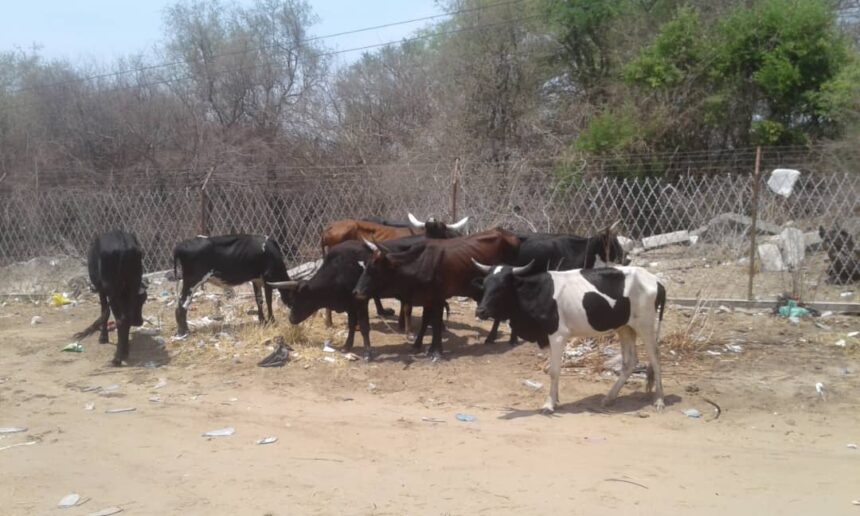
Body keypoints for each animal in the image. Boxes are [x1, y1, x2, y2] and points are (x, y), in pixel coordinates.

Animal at [73, 230, 148, 366]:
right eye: (142, 301)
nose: (139, 322)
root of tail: (124, 246)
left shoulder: (102, 290)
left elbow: (104, 311)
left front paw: (103, 337)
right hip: (133, 282)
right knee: (126, 318)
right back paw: (125, 351)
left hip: (111, 289)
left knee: (121, 320)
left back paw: (117, 358)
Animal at [353, 228, 521, 359]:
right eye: (365, 267)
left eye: (375, 270)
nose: (357, 292)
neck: (420, 263)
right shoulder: (428, 299)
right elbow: (428, 321)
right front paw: (422, 346)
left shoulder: (438, 299)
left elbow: (436, 324)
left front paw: (436, 353)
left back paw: (496, 337)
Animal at [472, 261, 666, 413]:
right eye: (485, 284)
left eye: (502, 286)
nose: (480, 311)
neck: (538, 293)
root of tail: (656, 280)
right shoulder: (548, 337)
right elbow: (552, 369)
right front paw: (555, 399)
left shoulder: (558, 335)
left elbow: (553, 371)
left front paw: (549, 404)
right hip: (625, 328)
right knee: (630, 362)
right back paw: (609, 398)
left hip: (646, 326)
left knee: (656, 359)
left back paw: (659, 400)